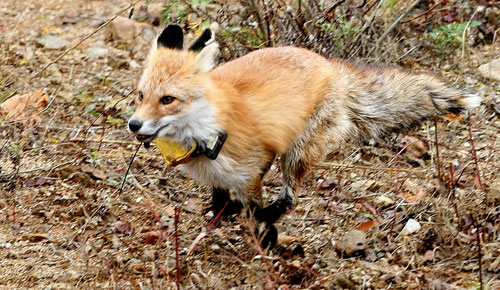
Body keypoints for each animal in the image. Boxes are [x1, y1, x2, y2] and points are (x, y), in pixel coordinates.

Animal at [128, 23, 480, 248]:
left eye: (168, 100)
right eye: (141, 96)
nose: (133, 124)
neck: (205, 132)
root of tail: (331, 64)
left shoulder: (256, 164)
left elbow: (254, 206)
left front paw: (261, 233)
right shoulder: (222, 176)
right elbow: (221, 199)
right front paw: (221, 214)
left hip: (297, 153)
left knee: (290, 198)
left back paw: (269, 217)